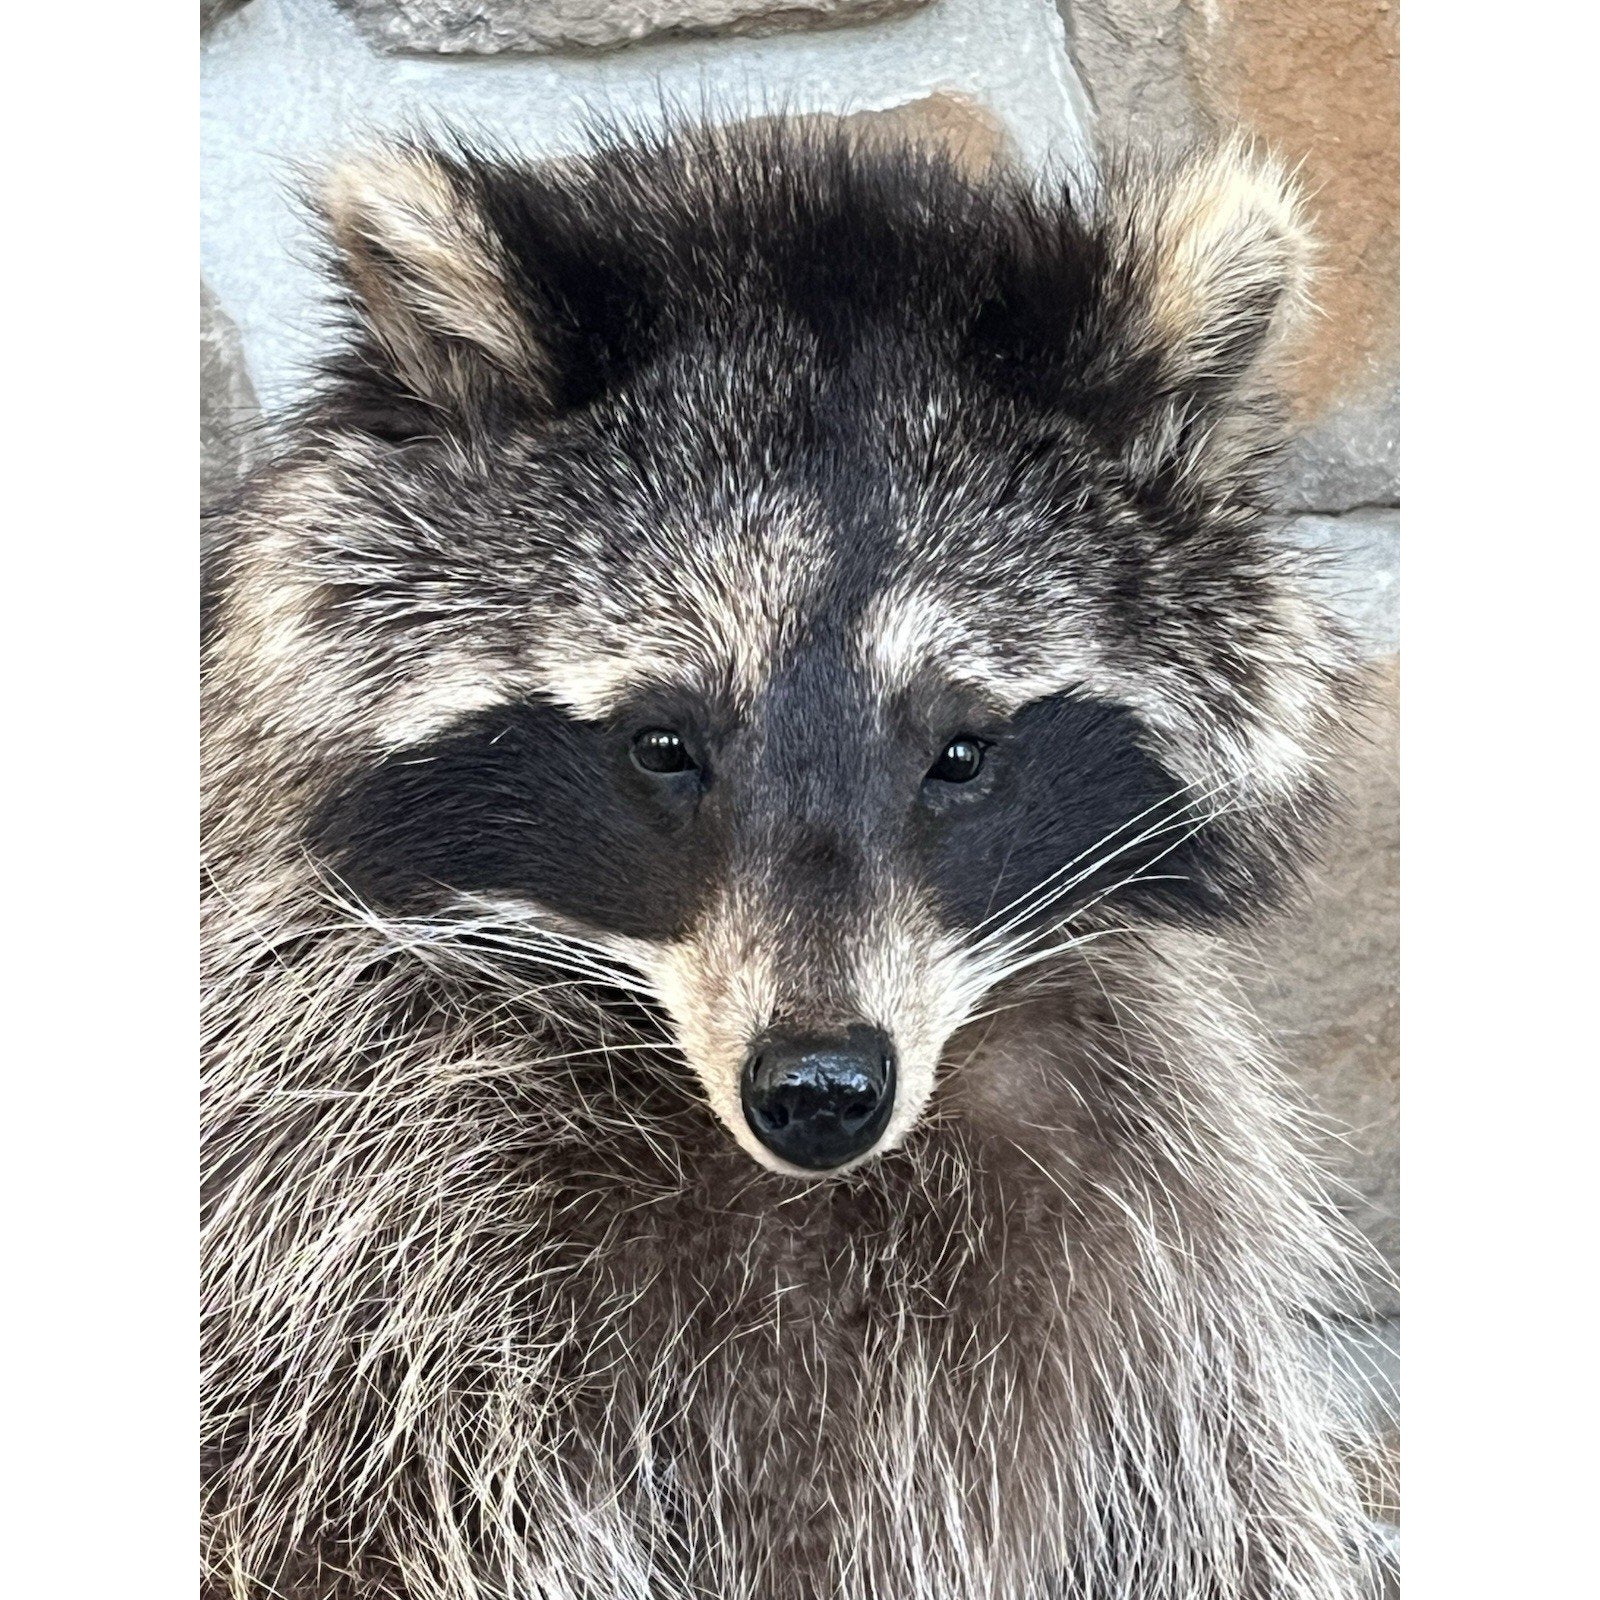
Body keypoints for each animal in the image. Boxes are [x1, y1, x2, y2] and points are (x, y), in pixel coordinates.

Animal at [202, 122, 1386, 1600]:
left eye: (959, 752)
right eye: (664, 745)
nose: (820, 1090)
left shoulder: (1149, 1229)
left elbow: (1205, 1511)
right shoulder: (351, 1205)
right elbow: (364, 1508)